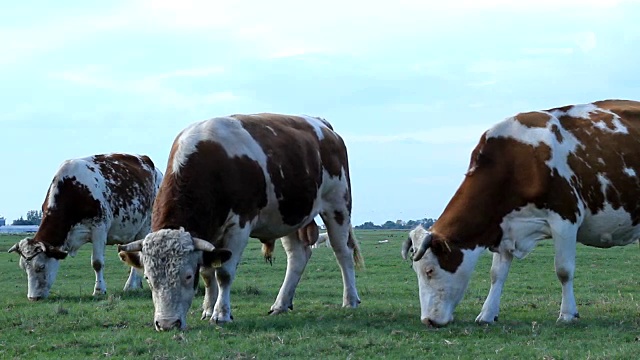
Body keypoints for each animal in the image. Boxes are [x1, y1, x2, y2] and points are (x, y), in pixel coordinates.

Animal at [8, 153, 162, 300]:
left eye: (41, 266)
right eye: (24, 268)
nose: (33, 298)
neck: (75, 189)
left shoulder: (99, 228)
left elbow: (97, 262)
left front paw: (99, 290)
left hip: (146, 225)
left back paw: (130, 286)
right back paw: (136, 284)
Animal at [117, 114, 362, 330]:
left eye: (187, 275)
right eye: (148, 278)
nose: (167, 324)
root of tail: (322, 125)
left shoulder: (239, 226)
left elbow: (224, 273)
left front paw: (221, 314)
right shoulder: (208, 235)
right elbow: (208, 274)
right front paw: (207, 309)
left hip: (338, 204)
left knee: (342, 252)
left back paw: (350, 300)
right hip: (288, 214)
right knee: (298, 256)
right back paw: (281, 304)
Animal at [402, 100, 640, 328]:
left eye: (430, 270)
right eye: (415, 271)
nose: (427, 320)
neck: (518, 159)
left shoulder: (565, 219)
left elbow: (563, 270)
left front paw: (567, 314)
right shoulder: (505, 225)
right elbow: (496, 274)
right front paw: (487, 314)